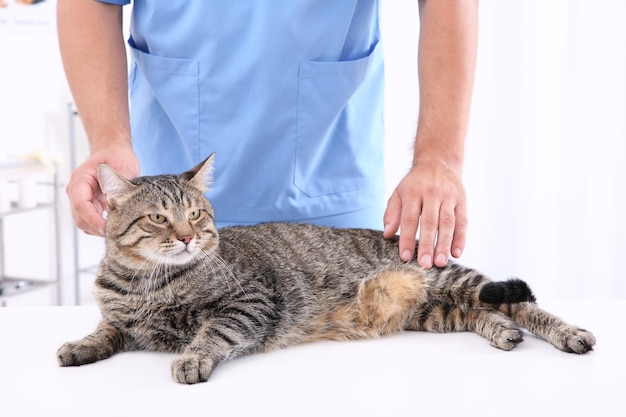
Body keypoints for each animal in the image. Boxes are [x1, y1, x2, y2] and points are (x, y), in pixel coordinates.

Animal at [57, 155, 596, 384]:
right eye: (158, 217)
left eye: (196, 214)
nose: (190, 237)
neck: (144, 284)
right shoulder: (121, 320)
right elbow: (104, 331)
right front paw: (79, 346)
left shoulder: (249, 301)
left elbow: (211, 332)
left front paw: (193, 357)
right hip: (434, 312)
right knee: (486, 312)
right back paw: (502, 331)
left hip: (451, 278)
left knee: (523, 303)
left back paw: (569, 333)